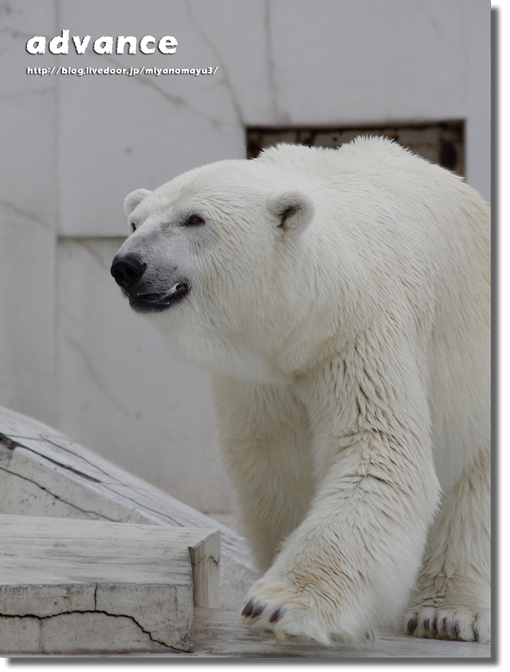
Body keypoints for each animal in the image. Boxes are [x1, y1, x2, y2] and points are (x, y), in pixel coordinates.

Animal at [111, 138, 490, 644]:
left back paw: (447, 612)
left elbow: (377, 453)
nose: (127, 265)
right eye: (136, 222)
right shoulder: (256, 379)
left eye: (194, 218)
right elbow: (273, 465)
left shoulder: (360, 331)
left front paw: (280, 605)